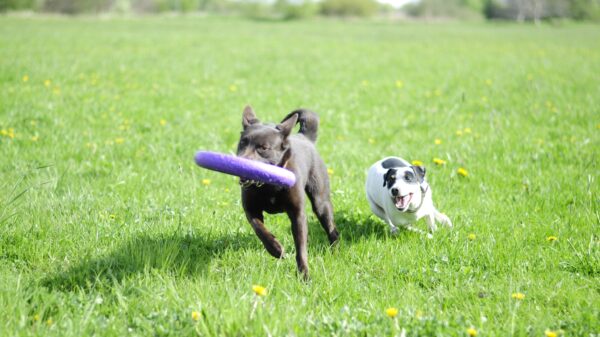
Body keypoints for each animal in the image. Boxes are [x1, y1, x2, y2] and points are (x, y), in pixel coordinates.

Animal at [238, 106, 340, 276]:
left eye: (263, 148)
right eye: (242, 143)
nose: (240, 161)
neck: (269, 185)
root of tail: (304, 137)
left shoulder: (297, 214)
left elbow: (301, 248)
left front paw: (304, 274)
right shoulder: (251, 210)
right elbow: (260, 229)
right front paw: (276, 249)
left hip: (321, 202)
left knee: (332, 230)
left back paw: (335, 251)